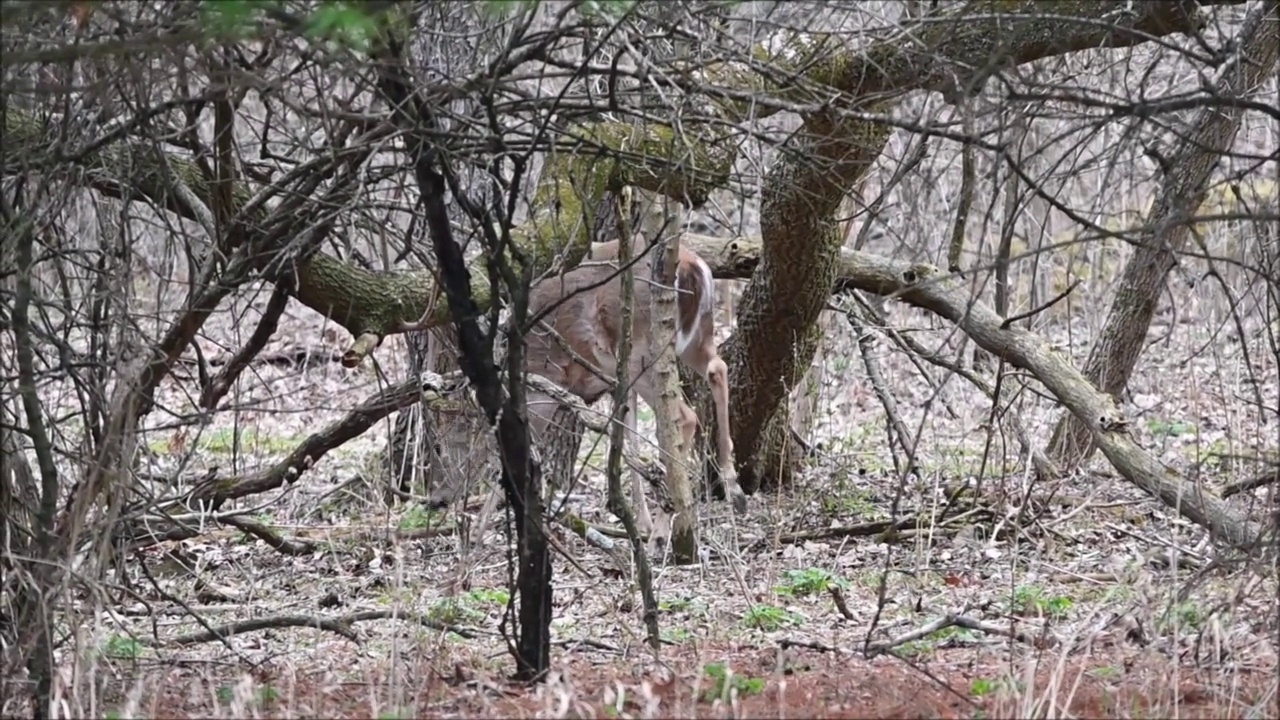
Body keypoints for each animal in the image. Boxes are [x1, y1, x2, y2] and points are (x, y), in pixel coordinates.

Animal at [522, 233, 747, 530]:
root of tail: (693, 266)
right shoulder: (617, 384)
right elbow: (630, 439)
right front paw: (641, 522)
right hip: (694, 336)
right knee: (718, 368)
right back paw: (733, 488)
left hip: (641, 352)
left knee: (686, 416)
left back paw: (666, 522)